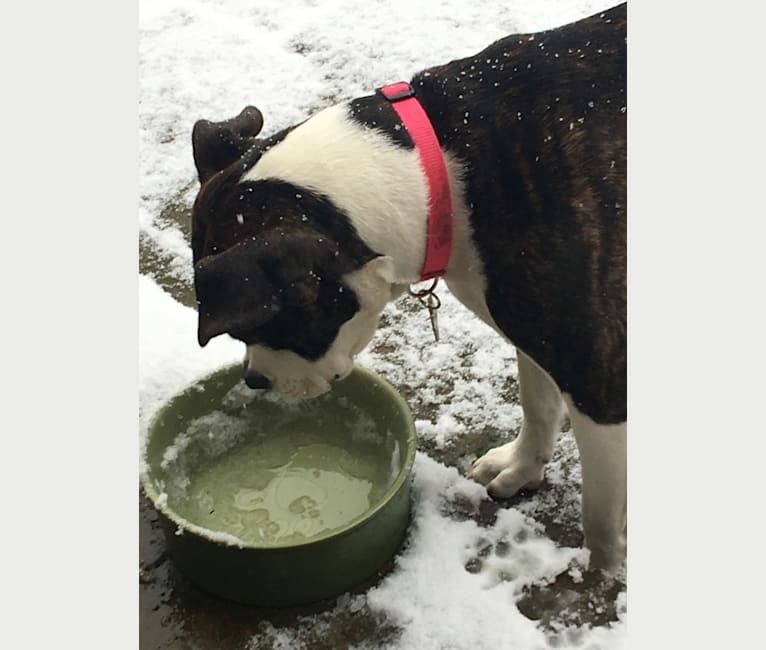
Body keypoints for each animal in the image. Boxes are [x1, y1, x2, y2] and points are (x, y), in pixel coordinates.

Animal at [189, 2, 628, 568]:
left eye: (266, 326)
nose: (253, 379)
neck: (438, 167)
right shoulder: (536, 324)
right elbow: (538, 402)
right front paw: (521, 467)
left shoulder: (596, 375)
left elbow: (601, 518)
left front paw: (603, 574)